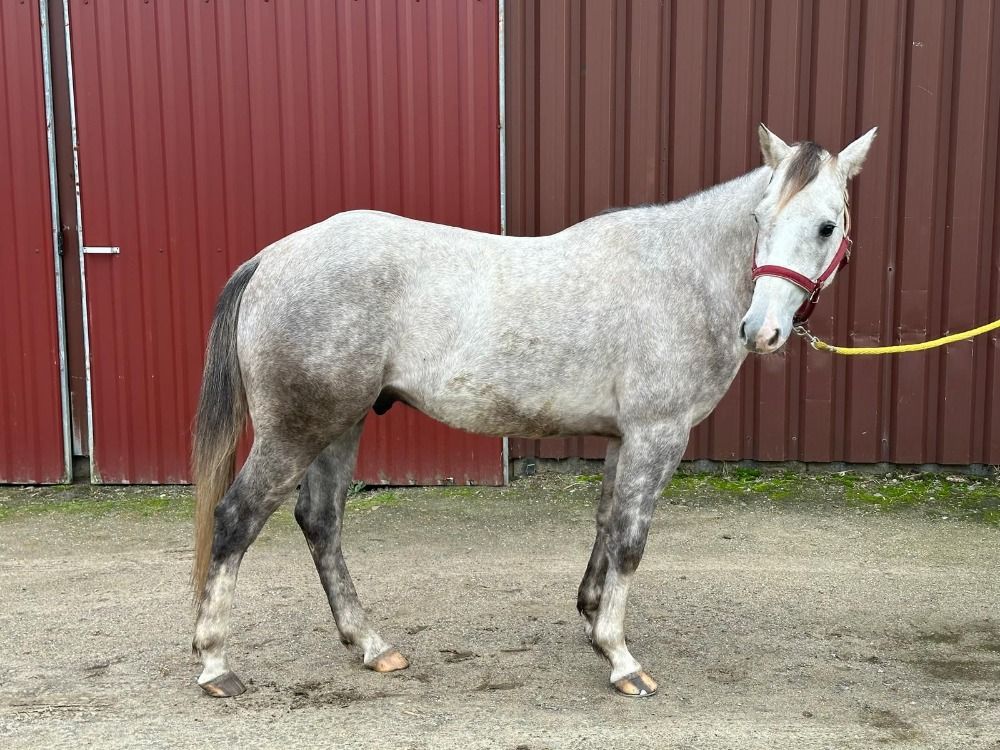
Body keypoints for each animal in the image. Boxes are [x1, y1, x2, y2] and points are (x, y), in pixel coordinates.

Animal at [191, 125, 877, 698]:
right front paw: (621, 660)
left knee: (321, 521)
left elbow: (606, 525)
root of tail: (273, 258)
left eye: (826, 226)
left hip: (340, 424)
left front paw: (594, 623)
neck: (680, 273)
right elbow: (631, 541)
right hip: (298, 429)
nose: (760, 330)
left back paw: (371, 646)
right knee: (237, 518)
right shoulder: (658, 434)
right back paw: (216, 665)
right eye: (760, 217)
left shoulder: (623, 438)